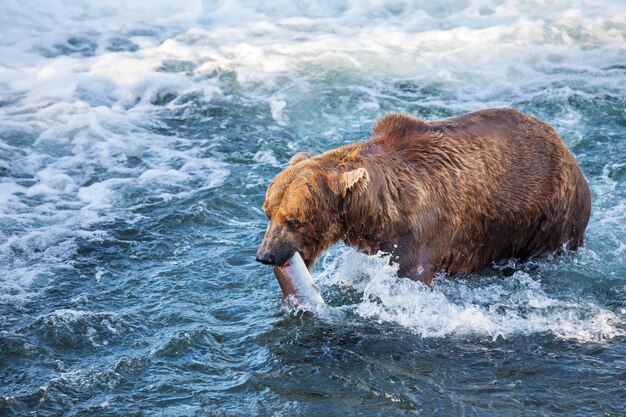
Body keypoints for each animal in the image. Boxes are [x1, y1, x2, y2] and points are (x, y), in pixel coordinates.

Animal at [255, 107, 588, 284]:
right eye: (268, 212)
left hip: (549, 214)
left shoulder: (422, 235)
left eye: (294, 220)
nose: (265, 255)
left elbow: (412, 272)